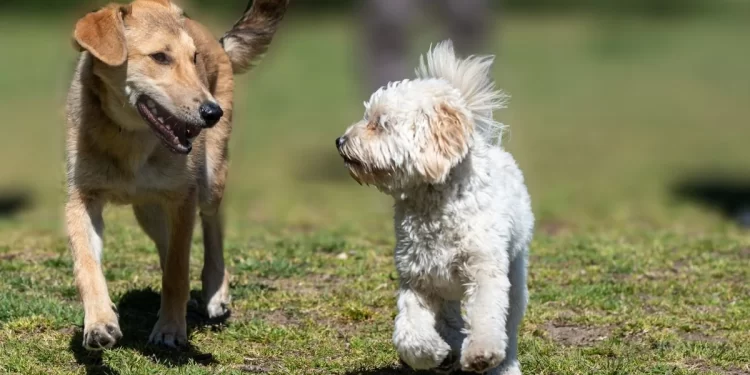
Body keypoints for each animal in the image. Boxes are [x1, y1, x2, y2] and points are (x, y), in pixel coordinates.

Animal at [66, 0, 290, 352]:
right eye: (160, 57)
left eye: (193, 57)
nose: (212, 112)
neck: (129, 138)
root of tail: (218, 41)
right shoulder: (82, 199)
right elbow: (87, 266)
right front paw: (100, 323)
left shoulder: (183, 198)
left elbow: (177, 271)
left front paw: (170, 329)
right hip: (148, 210)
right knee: (167, 243)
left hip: (211, 180)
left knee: (212, 226)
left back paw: (215, 292)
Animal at [334, 39, 536, 374]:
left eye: (380, 123)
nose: (340, 140)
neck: (434, 203)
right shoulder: (418, 279)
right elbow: (410, 334)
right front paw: (433, 353)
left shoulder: (484, 270)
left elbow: (487, 317)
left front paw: (481, 354)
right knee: (451, 317)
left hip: (515, 274)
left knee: (508, 323)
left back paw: (504, 364)